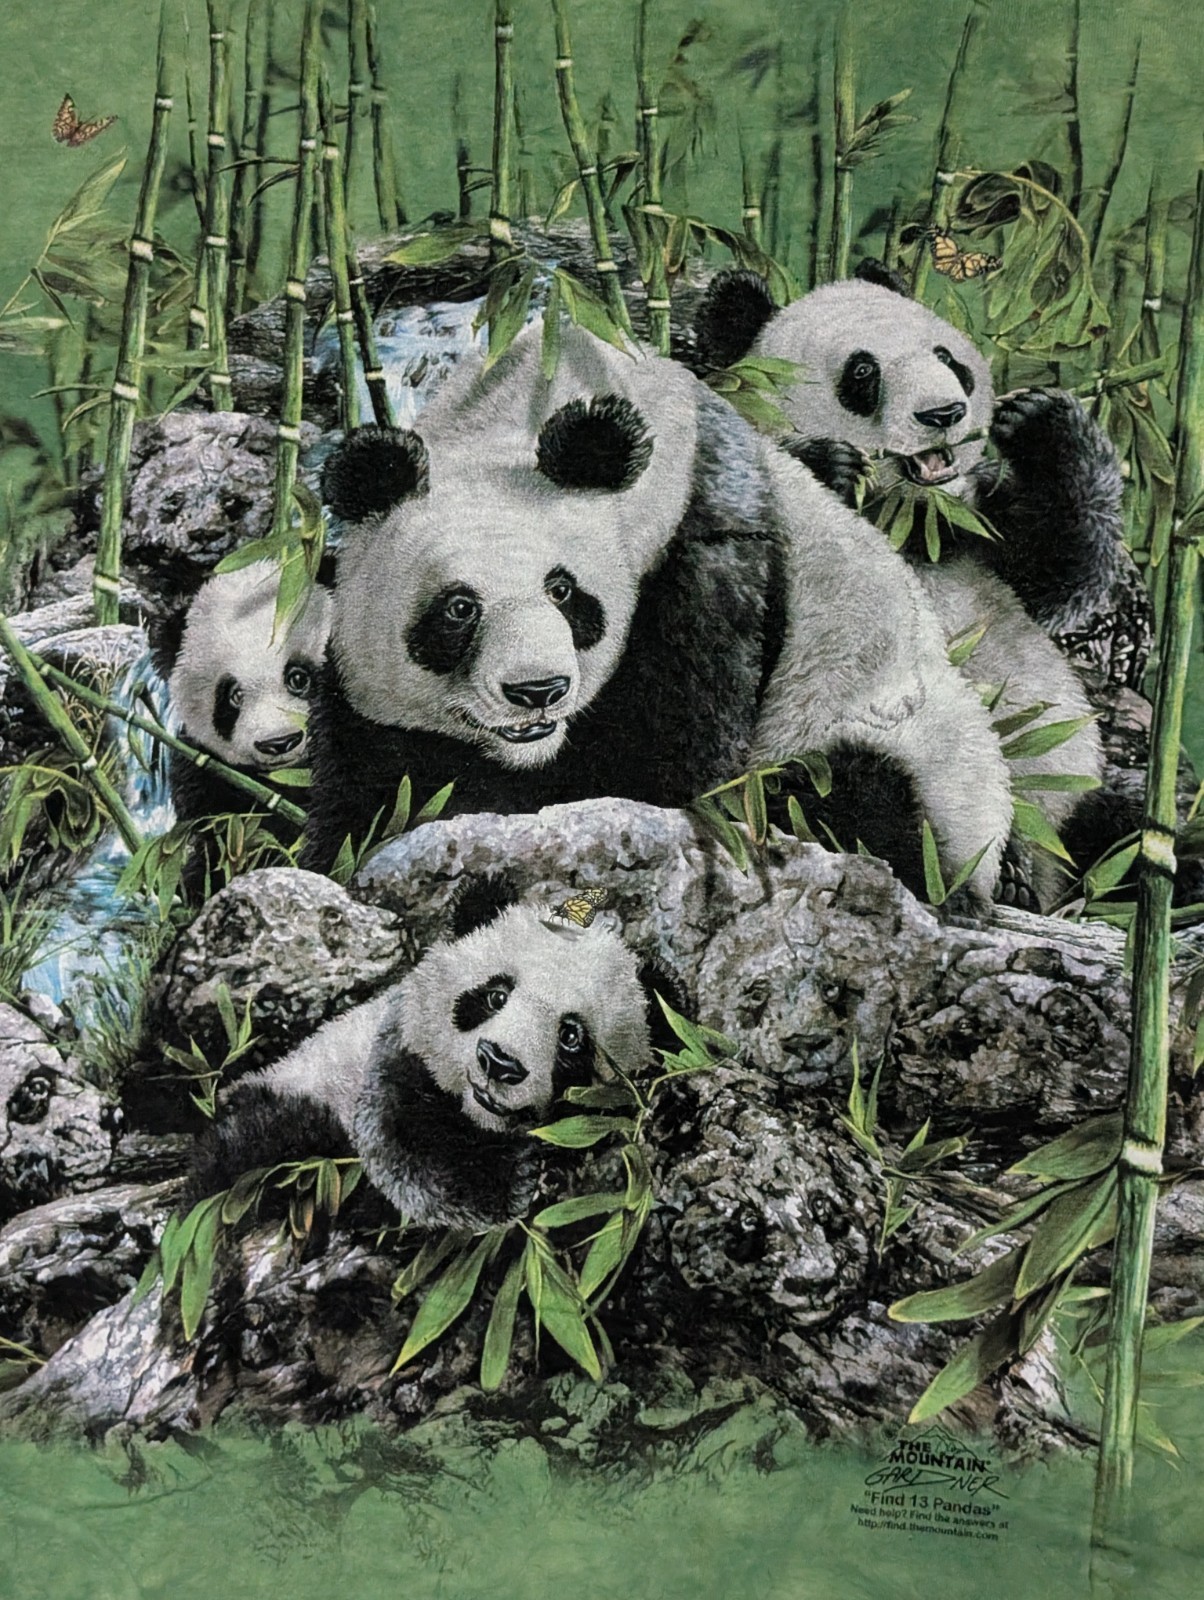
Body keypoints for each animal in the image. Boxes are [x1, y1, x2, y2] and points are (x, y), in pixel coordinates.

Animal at [189, 875, 669, 1230]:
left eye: (571, 1037)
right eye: (495, 996)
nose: (499, 1062)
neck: (479, 1121)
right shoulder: (397, 1053)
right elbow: (406, 1149)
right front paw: (509, 1181)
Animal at [693, 262, 1150, 690]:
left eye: (946, 358)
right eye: (862, 372)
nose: (943, 413)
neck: (907, 516)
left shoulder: (972, 525)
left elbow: (1060, 578)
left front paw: (1037, 422)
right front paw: (832, 466)